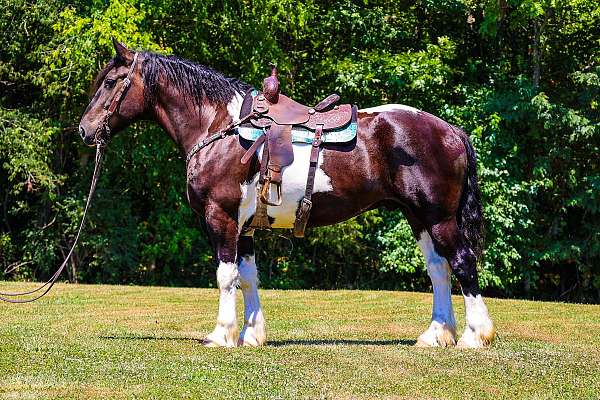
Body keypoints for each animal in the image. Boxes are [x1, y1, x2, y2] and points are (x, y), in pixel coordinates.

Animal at [77, 39, 494, 348]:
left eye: (111, 82)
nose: (84, 130)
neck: (219, 127)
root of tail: (451, 130)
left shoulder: (221, 217)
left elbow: (225, 276)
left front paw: (221, 335)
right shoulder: (243, 226)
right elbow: (248, 276)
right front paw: (250, 335)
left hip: (438, 217)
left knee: (462, 262)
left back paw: (475, 336)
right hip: (417, 216)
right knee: (438, 269)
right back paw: (436, 335)